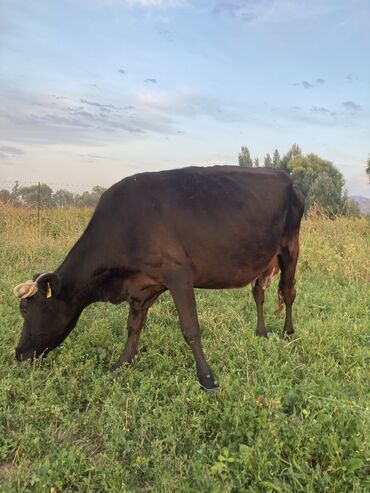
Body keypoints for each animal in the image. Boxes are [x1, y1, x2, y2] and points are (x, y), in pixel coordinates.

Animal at [13, 165, 304, 388]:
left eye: (27, 309)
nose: (18, 353)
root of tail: (284, 176)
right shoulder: (142, 284)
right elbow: (133, 326)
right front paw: (122, 363)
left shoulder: (179, 274)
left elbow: (190, 328)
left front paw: (207, 378)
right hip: (262, 257)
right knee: (259, 293)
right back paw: (261, 332)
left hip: (290, 246)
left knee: (289, 292)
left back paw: (288, 332)